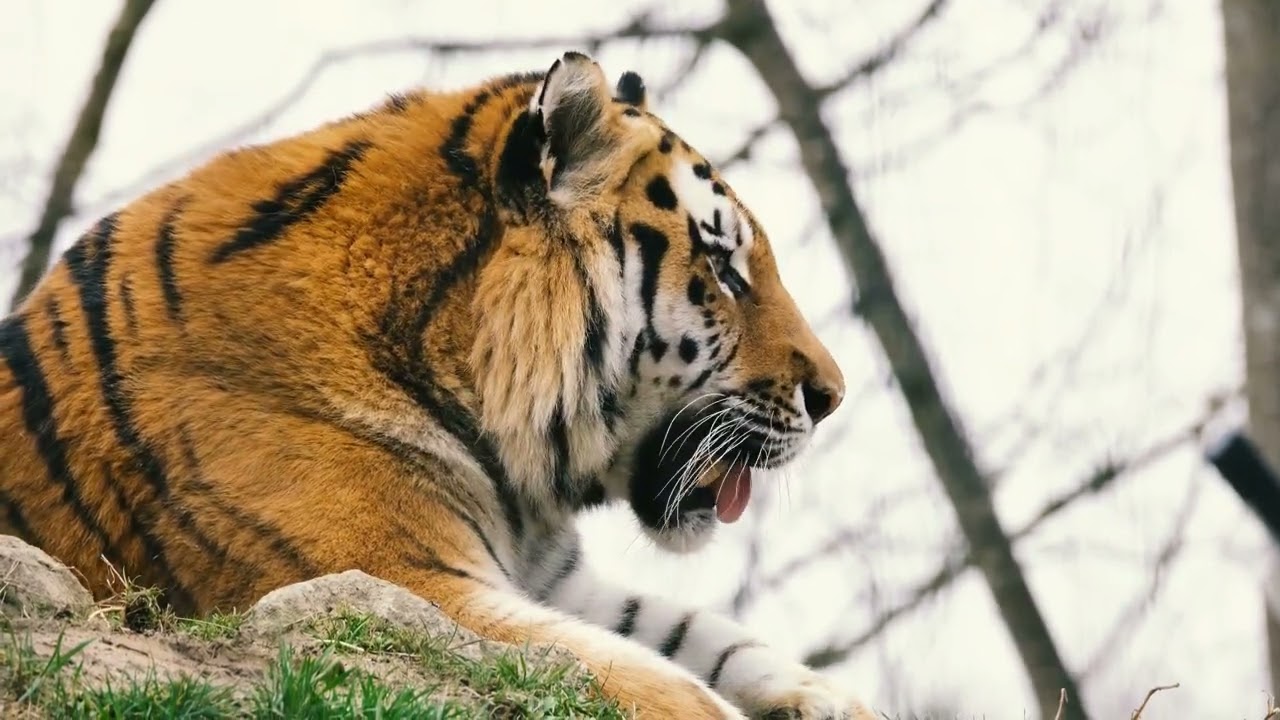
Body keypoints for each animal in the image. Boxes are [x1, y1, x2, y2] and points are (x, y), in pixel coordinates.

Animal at [0, 51, 872, 719]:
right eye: (724, 269)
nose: (833, 397)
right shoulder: (400, 579)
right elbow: (666, 683)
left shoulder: (551, 579)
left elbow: (710, 638)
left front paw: (835, 701)